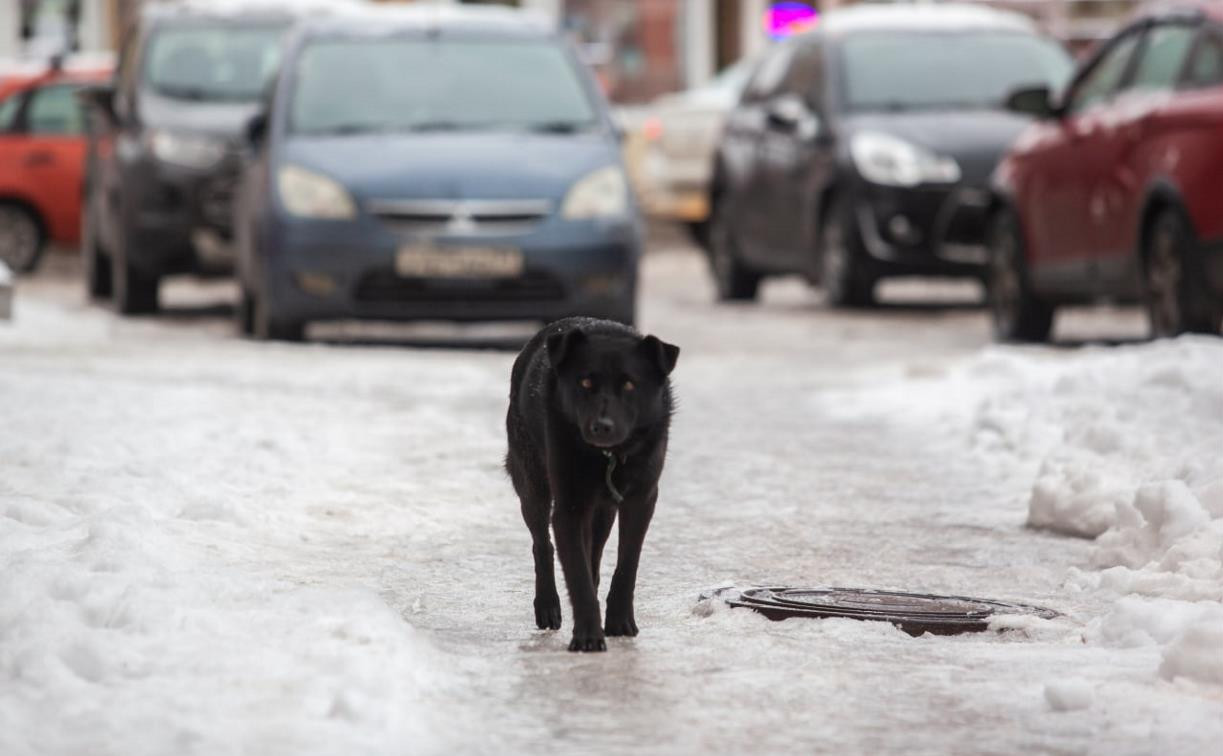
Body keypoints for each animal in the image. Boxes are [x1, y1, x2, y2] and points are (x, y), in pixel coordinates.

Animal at [503, 315, 679, 650]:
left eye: (629, 385)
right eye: (585, 383)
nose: (602, 426)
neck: (608, 456)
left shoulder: (641, 500)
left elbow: (626, 564)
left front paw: (619, 622)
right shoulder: (569, 506)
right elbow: (576, 571)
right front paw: (587, 634)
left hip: (603, 510)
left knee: (594, 555)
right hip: (532, 484)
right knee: (542, 545)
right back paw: (547, 605)